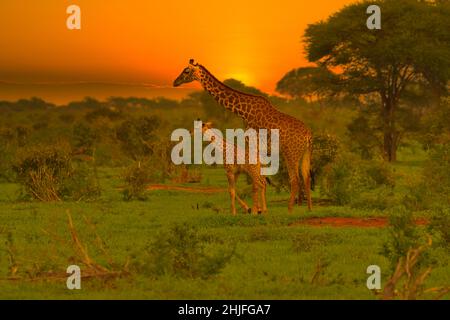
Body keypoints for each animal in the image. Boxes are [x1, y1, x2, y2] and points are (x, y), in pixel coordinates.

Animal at [173, 59, 312, 212]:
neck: (243, 111)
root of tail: (308, 135)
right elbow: (258, 178)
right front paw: (259, 209)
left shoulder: (252, 142)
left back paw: (290, 209)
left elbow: (255, 179)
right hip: (305, 153)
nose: (175, 82)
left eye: (186, 71)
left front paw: (255, 209)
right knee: (307, 177)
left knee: (295, 179)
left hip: (291, 153)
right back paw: (309, 209)